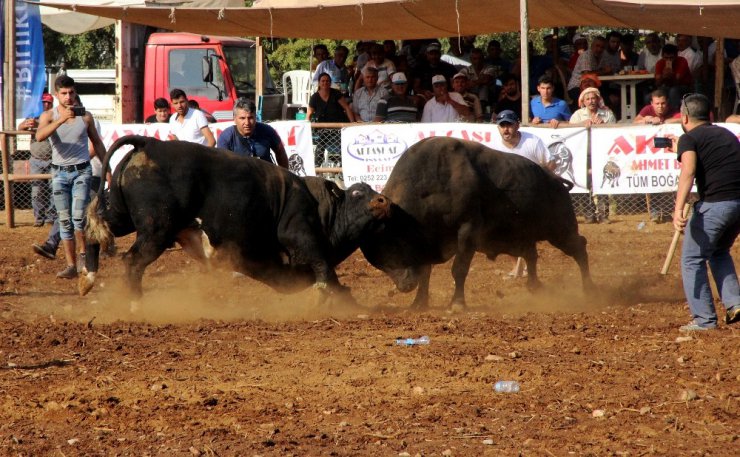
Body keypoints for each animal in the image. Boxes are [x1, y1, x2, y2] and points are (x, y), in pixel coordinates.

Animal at [84, 134, 390, 300]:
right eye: (357, 193)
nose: (382, 200)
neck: (321, 208)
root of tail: (149, 143)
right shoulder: (301, 235)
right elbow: (326, 271)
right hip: (156, 228)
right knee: (133, 260)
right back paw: (133, 302)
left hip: (122, 214)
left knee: (93, 231)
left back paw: (87, 278)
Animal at [360, 135, 596, 306]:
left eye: (393, 244)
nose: (405, 285)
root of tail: (556, 181)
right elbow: (426, 271)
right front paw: (418, 303)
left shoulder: (468, 230)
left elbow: (459, 269)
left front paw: (457, 304)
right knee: (531, 255)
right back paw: (535, 286)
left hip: (560, 231)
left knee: (579, 247)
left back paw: (589, 289)